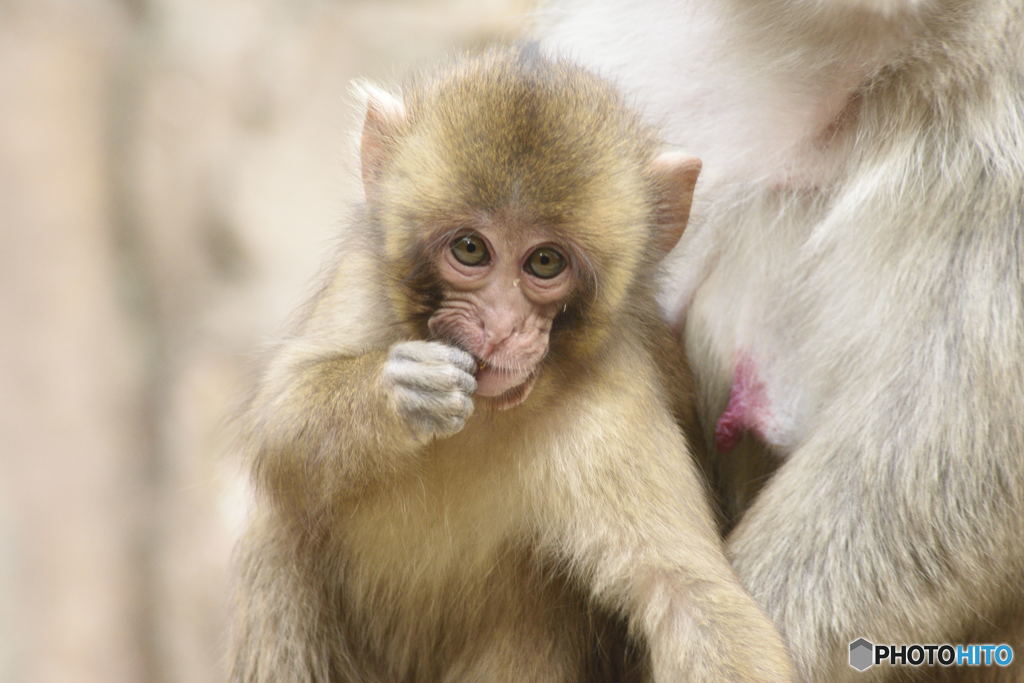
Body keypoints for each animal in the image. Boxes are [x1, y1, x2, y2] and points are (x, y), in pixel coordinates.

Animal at [232, 48, 790, 683]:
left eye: (544, 262)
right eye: (471, 249)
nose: (499, 326)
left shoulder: (610, 409)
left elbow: (687, 596)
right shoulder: (365, 283)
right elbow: (280, 416)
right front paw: (405, 394)